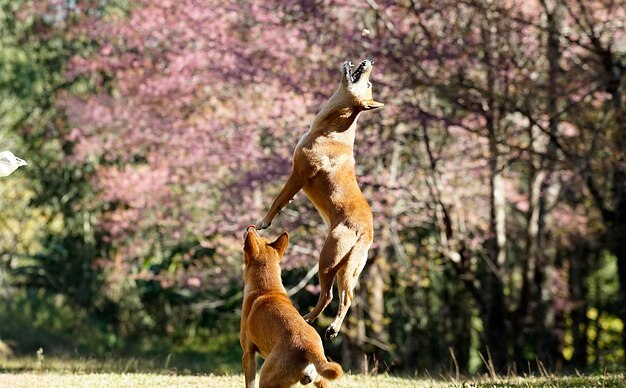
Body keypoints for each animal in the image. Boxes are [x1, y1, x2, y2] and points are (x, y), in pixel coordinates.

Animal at [241, 224, 344, 388]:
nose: (251, 227)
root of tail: (310, 348)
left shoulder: (248, 353)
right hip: (317, 379)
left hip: (266, 377)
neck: (267, 289)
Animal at [258, 59, 382, 338]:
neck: (332, 129)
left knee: (329, 296)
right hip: (350, 267)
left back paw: (317, 322)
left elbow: (278, 200)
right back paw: (327, 325)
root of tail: (366, 231)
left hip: (327, 259)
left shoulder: (298, 175)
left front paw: (264, 222)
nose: (369, 61)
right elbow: (285, 201)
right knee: (347, 296)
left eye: (368, 83)